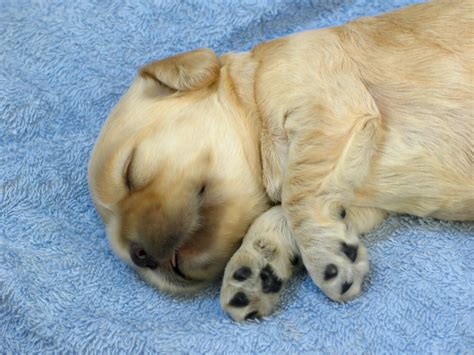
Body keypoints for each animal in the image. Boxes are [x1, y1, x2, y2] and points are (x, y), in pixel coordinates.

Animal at [87, 0, 472, 322]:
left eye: (130, 172)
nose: (138, 255)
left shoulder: (327, 106)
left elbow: (295, 193)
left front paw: (326, 258)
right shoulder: (361, 199)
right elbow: (284, 211)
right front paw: (255, 270)